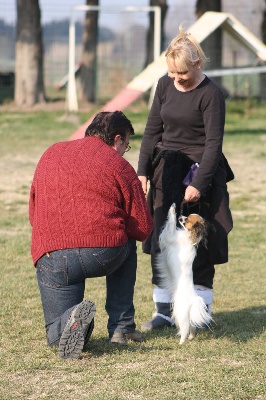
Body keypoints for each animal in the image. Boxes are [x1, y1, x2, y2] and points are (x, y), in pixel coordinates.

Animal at [158, 203, 212, 344]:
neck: (189, 237)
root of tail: (193, 300)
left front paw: (172, 209)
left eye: (186, 220)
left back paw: (181, 342)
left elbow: (170, 223)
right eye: (186, 216)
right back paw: (191, 337)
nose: (181, 216)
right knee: (192, 327)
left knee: (185, 328)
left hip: (181, 314)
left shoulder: (169, 236)